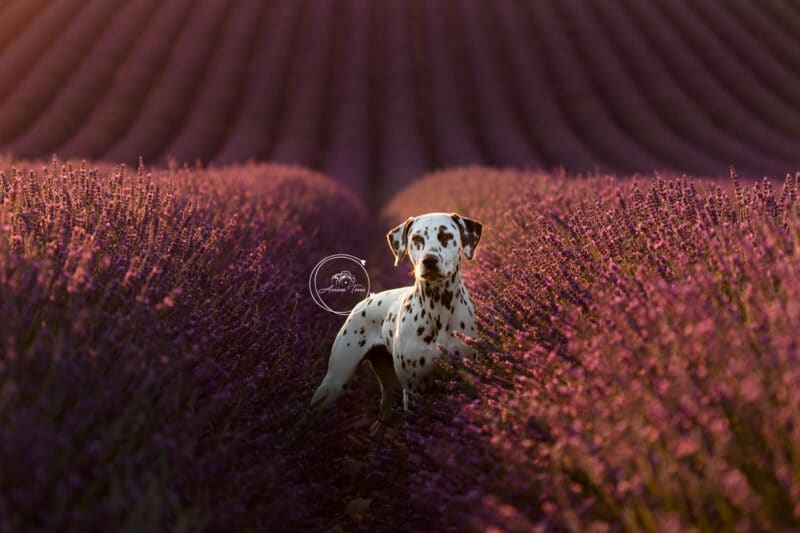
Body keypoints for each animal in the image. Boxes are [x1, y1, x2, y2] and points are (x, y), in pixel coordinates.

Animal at [308, 210, 482, 430]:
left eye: (445, 236)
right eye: (416, 239)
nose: (429, 260)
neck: (438, 308)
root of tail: (365, 300)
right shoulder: (414, 389)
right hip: (335, 382)